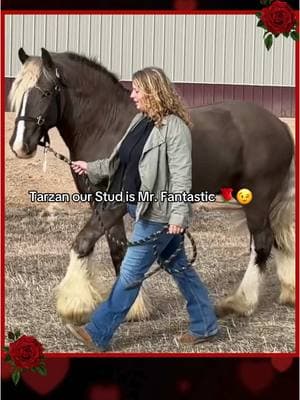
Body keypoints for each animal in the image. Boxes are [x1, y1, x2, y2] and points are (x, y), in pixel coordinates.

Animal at [7, 48, 296, 326]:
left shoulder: (116, 202)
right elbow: (117, 250)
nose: (20, 145)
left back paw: (241, 303)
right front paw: (134, 308)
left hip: (257, 199)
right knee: (277, 239)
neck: (107, 126)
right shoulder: (100, 204)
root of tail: (280, 125)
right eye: (18, 94)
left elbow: (84, 242)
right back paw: (288, 292)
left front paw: (73, 306)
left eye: (45, 92)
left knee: (262, 242)